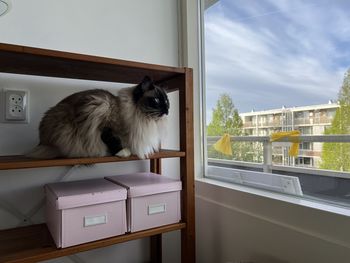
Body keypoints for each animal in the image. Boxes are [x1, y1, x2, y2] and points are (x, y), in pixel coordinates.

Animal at [27, 75, 170, 160]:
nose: (167, 110)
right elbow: (113, 140)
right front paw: (123, 152)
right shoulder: (106, 125)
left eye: (167, 102)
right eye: (157, 100)